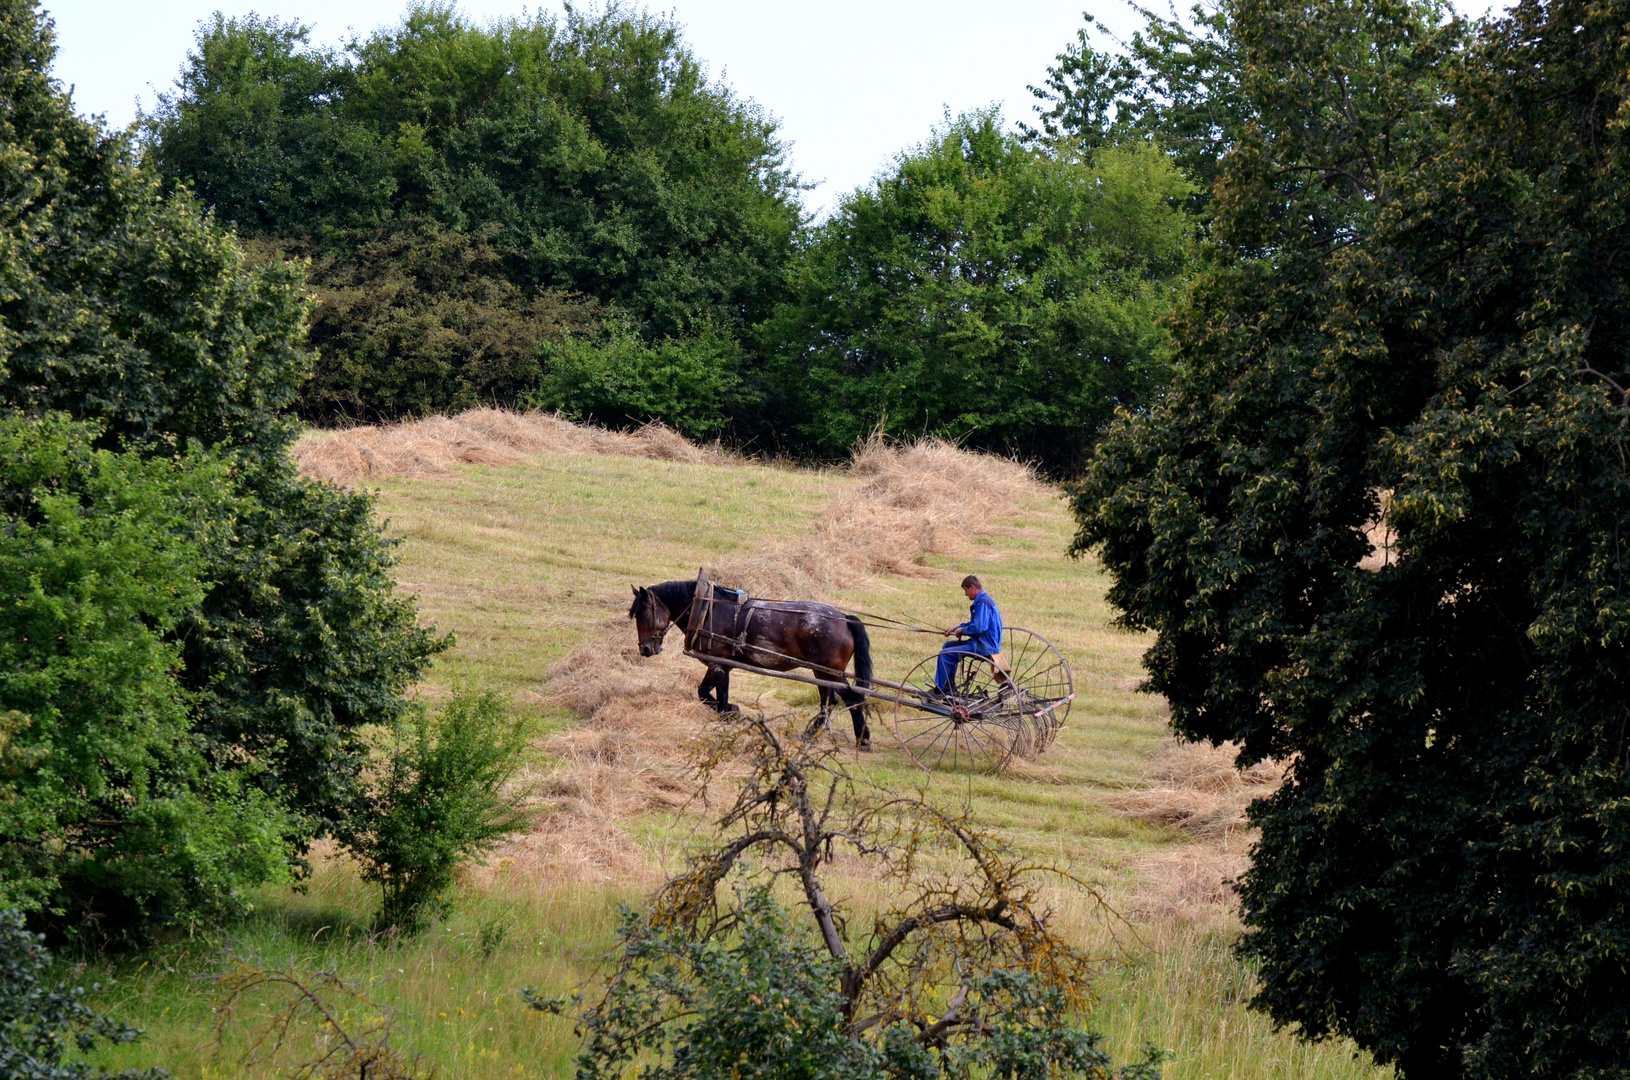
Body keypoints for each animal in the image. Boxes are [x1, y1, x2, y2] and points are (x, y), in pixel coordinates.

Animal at [625, 579, 880, 749]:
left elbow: (711, 693)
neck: (707, 609)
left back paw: (863, 739)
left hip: (831, 671)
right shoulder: (721, 665)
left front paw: (729, 712)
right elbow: (712, 693)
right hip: (821, 671)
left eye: (644, 613)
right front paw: (730, 711)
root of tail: (844, 619)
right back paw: (813, 732)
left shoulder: (718, 663)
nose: (645, 649)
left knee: (851, 699)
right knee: (830, 700)